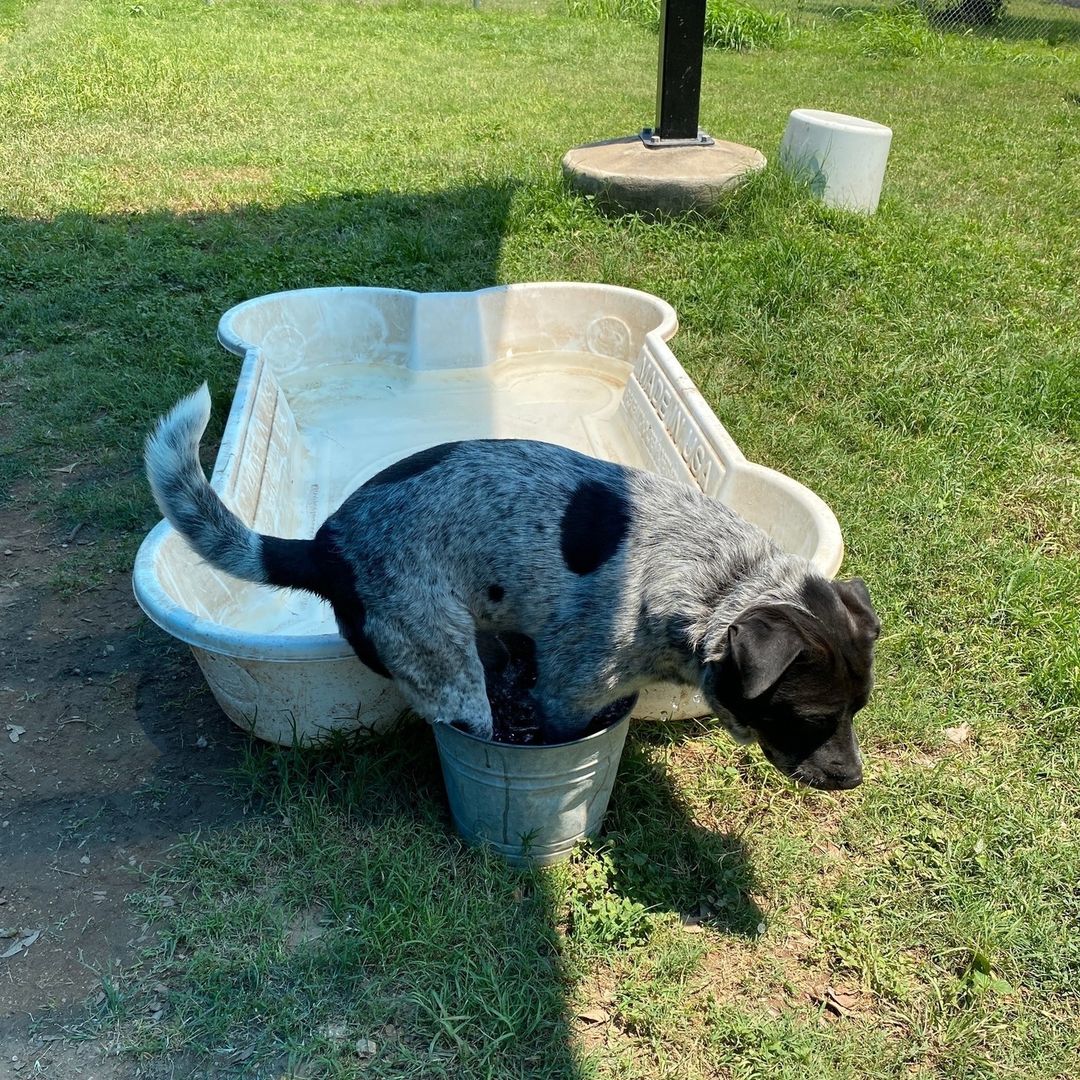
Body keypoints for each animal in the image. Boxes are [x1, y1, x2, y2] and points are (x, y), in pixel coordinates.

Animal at [147, 384, 881, 790]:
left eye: (859, 710)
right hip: (454, 678)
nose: (852, 781)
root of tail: (326, 548)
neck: (716, 583)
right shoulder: (569, 694)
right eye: (810, 717)